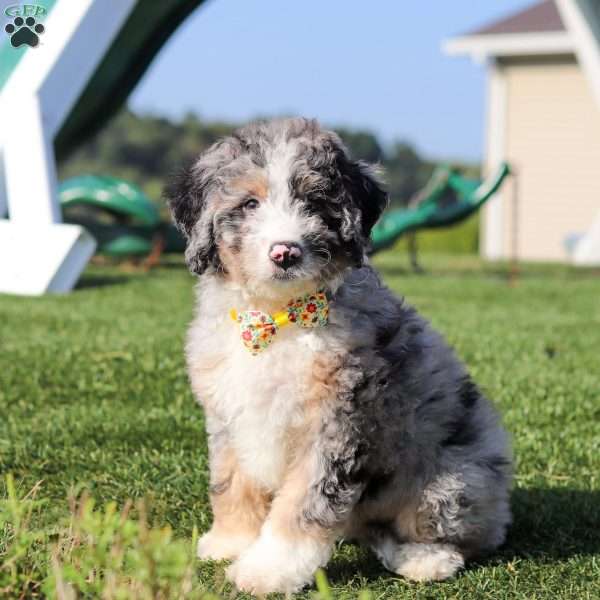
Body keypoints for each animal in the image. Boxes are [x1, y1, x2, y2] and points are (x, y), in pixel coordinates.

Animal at [164, 117, 510, 596]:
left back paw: (425, 559)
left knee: (460, 536)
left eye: (314, 202)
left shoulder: (335, 428)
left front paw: (267, 571)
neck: (278, 318)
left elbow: (302, 507)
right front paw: (231, 542)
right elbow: (232, 483)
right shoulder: (229, 418)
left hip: (452, 479)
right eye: (249, 203)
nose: (285, 251)